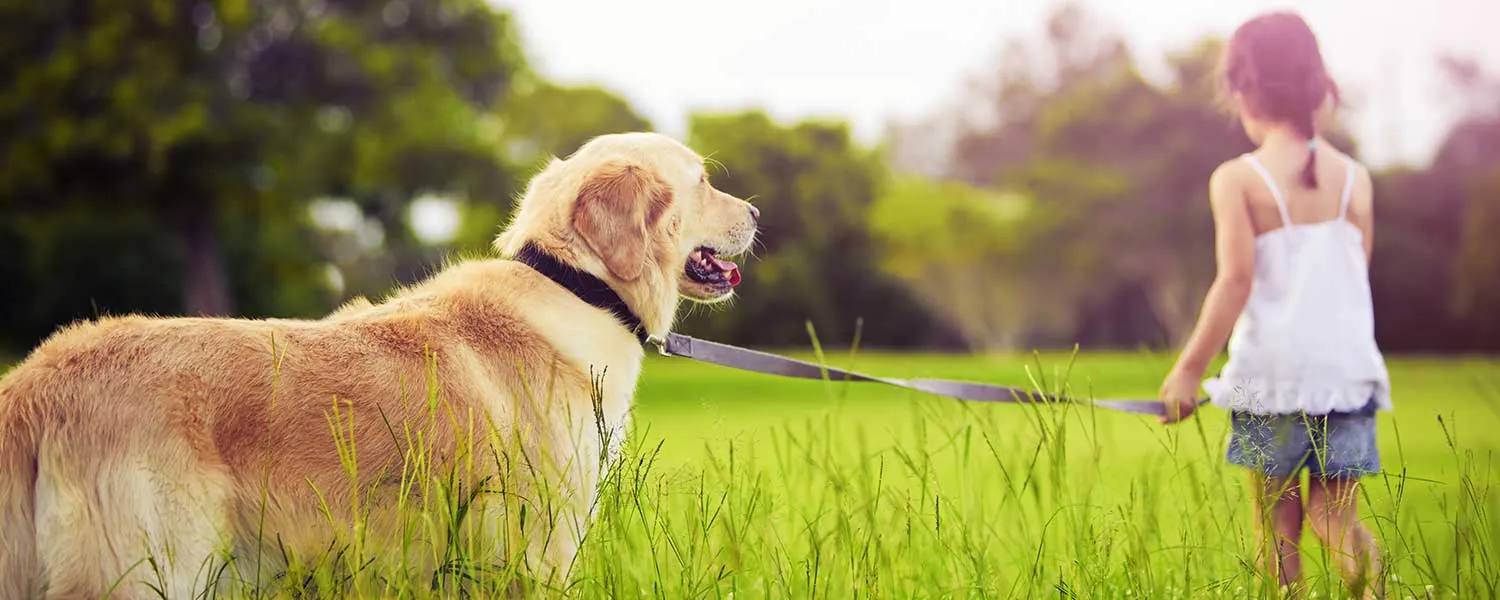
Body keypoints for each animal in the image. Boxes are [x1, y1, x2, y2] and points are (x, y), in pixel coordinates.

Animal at [0, 132, 756, 600]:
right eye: (701, 181)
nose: (754, 210)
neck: (577, 285)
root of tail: (35, 379)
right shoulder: (540, 550)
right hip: (150, 569)